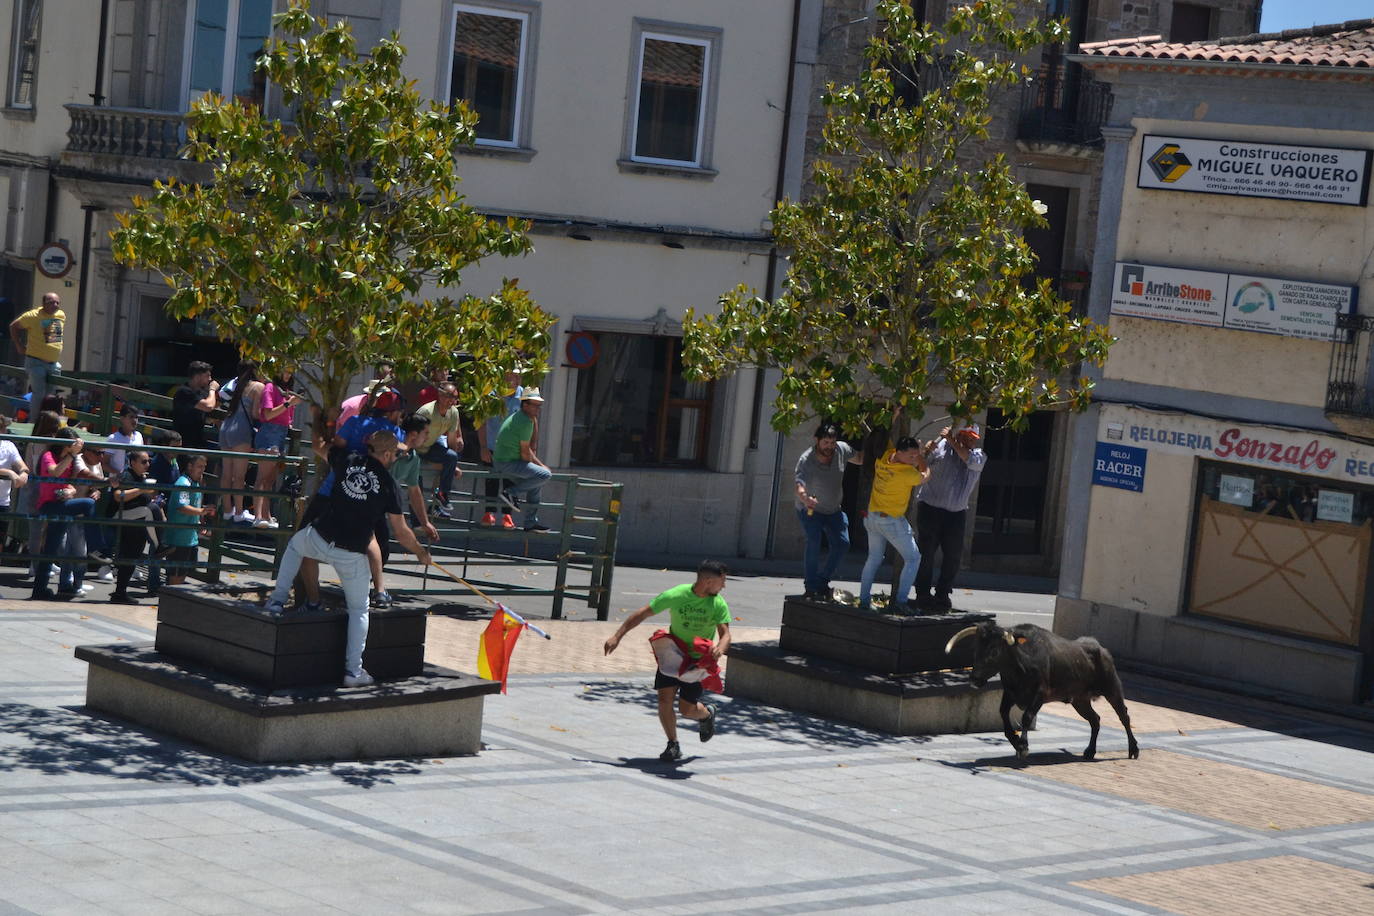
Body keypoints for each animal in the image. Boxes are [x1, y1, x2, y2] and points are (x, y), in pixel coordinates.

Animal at [945, 620, 1137, 763]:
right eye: (976, 648)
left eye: (994, 650)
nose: (974, 679)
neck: (1020, 665)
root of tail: (1102, 650)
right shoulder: (1010, 693)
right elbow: (1003, 714)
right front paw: (1015, 741)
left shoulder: (1040, 694)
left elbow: (1026, 717)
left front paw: (1023, 747)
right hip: (1080, 700)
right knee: (1095, 720)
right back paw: (1090, 751)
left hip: (1112, 689)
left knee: (1124, 716)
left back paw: (1133, 749)